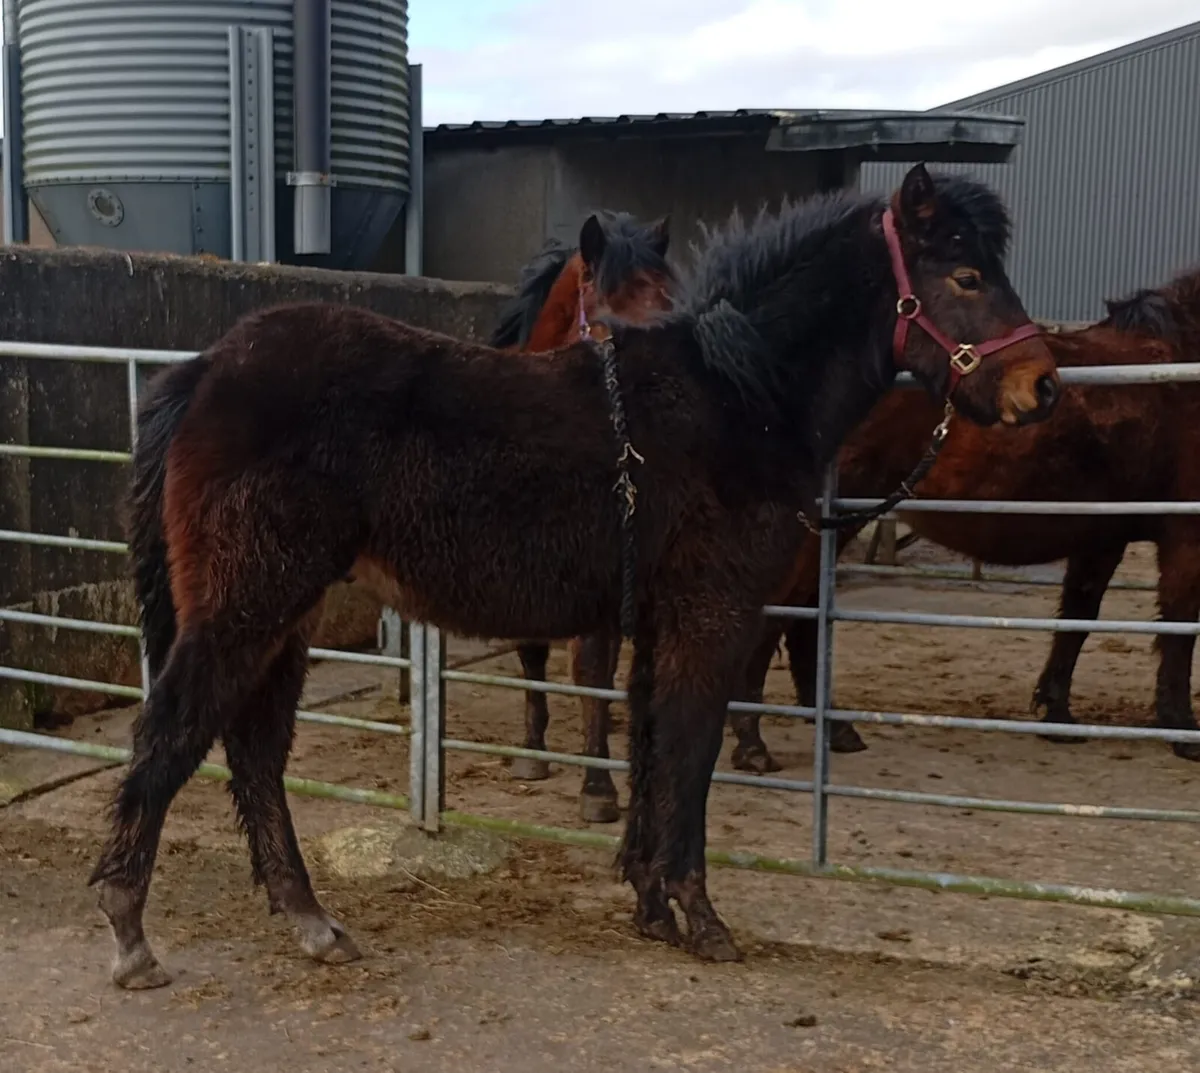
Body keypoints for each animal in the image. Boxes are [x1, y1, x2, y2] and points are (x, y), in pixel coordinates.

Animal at [88, 162, 1060, 989]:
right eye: (965, 276)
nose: (1041, 388)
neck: (734, 395)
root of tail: (208, 368)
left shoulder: (657, 620)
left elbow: (649, 744)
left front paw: (649, 902)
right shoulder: (713, 614)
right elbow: (693, 751)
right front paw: (701, 916)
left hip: (282, 614)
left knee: (254, 751)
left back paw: (313, 922)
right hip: (248, 602)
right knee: (173, 733)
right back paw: (131, 934)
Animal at [736, 263, 1200, 765]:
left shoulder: (1102, 536)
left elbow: (1078, 617)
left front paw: (1056, 712)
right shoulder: (1184, 536)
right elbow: (1180, 625)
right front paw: (1181, 728)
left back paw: (834, 730)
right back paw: (752, 742)